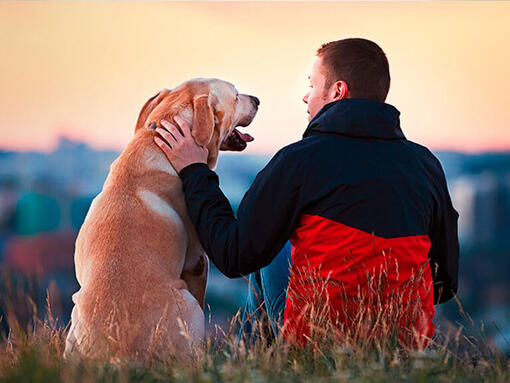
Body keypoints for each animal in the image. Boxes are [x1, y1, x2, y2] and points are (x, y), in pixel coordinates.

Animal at [64, 79, 258, 364]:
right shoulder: (198, 262)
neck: (156, 143)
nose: (257, 99)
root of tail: (118, 354)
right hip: (188, 305)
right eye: (235, 96)